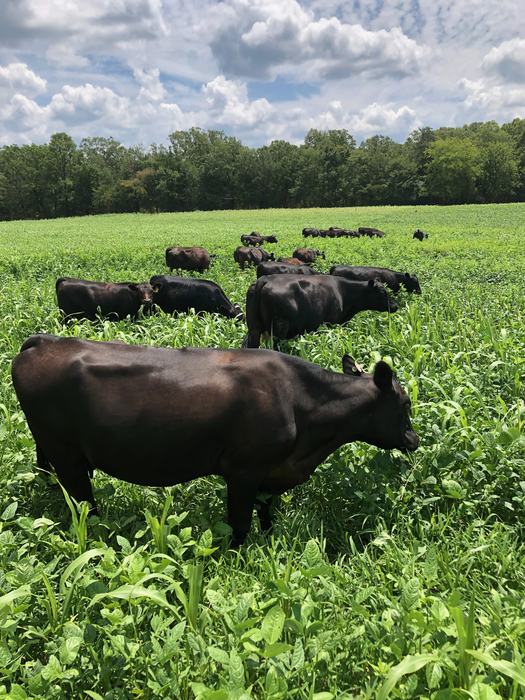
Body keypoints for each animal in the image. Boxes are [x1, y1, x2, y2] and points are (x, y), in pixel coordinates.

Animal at [12, 335, 419, 545]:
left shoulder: (270, 473)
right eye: (405, 402)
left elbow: (267, 516)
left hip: (49, 450)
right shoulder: (243, 470)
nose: (415, 439)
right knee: (84, 505)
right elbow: (239, 524)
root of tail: (43, 341)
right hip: (67, 454)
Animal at [243, 274, 398, 348]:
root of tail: (263, 280)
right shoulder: (331, 323)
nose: (395, 305)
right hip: (278, 329)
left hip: (254, 329)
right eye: (382, 292)